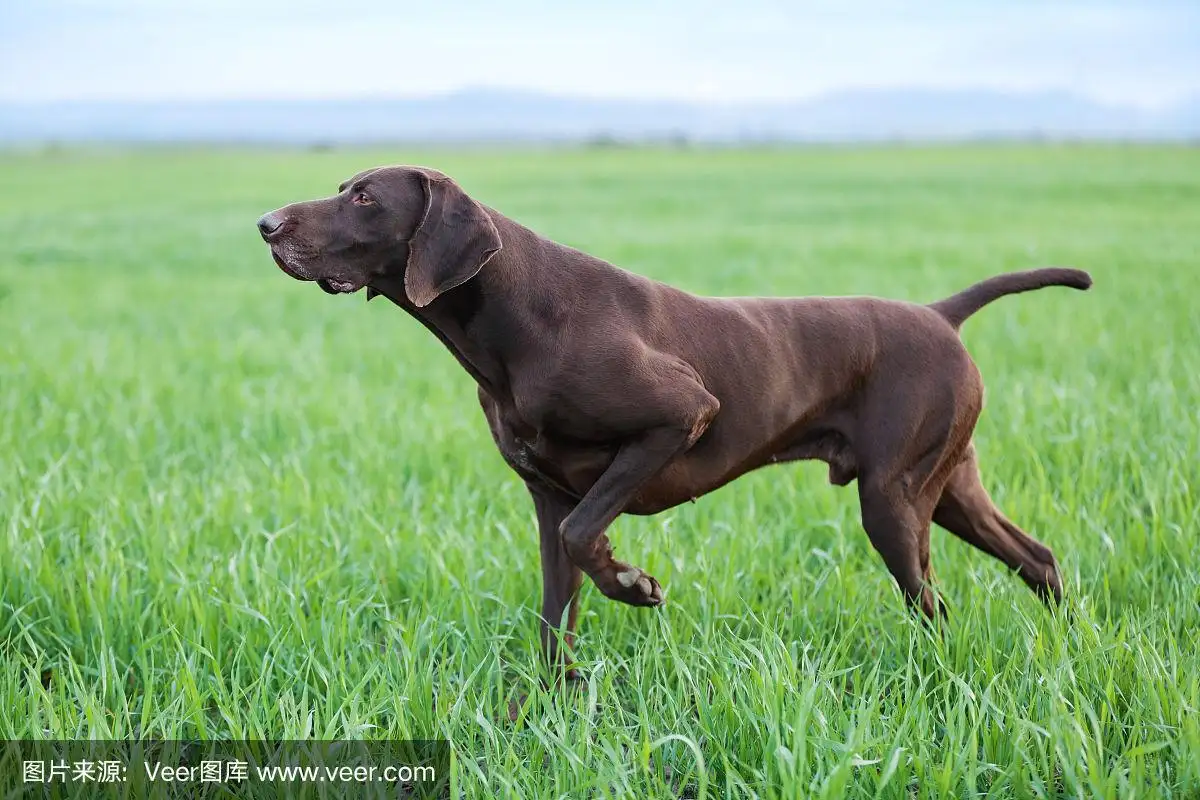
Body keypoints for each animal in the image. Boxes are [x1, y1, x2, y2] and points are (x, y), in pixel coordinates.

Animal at [258, 167, 1094, 671]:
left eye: (365, 198)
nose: (266, 224)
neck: (516, 316)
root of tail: (939, 314)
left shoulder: (677, 420)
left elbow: (586, 534)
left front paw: (633, 584)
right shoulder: (545, 494)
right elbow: (554, 609)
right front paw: (550, 711)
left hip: (893, 500)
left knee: (935, 603)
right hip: (946, 488)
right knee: (1038, 557)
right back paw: (1070, 643)